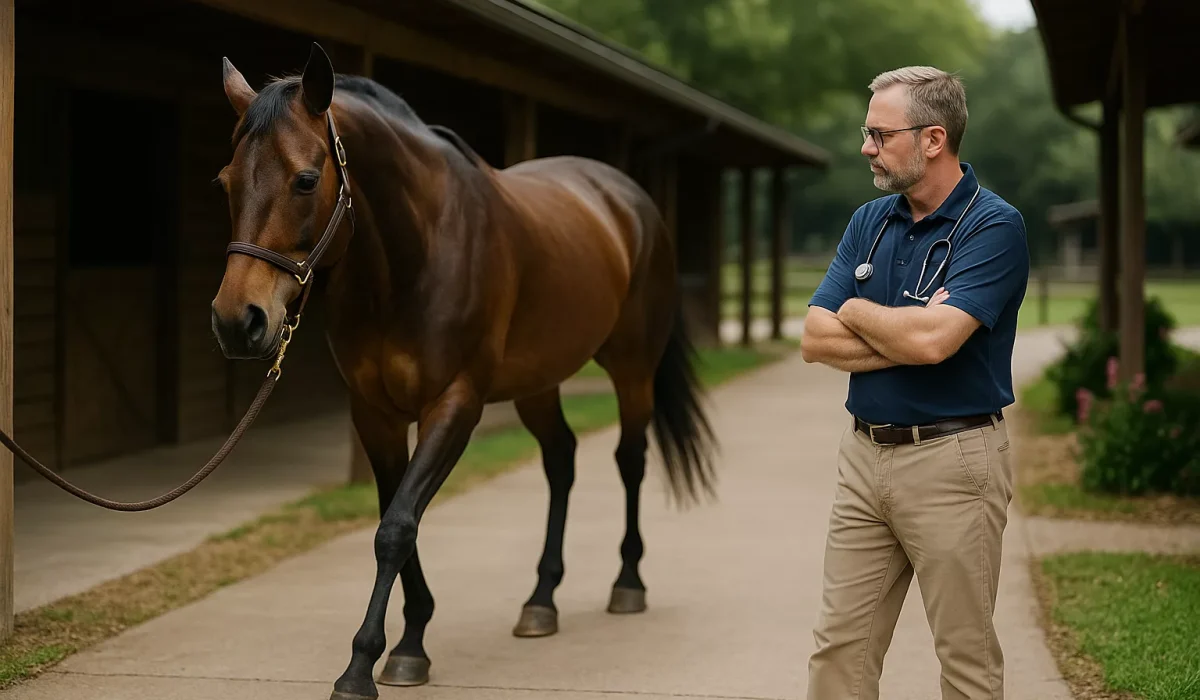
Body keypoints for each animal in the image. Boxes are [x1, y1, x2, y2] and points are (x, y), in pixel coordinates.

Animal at [210, 43, 719, 700]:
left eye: (305, 179)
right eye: (224, 181)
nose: (236, 321)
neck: (413, 256)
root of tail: (630, 199)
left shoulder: (454, 404)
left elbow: (397, 526)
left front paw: (363, 665)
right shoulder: (373, 413)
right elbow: (392, 514)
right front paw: (411, 640)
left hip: (631, 369)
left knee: (629, 459)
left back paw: (627, 584)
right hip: (538, 382)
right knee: (561, 460)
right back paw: (541, 600)